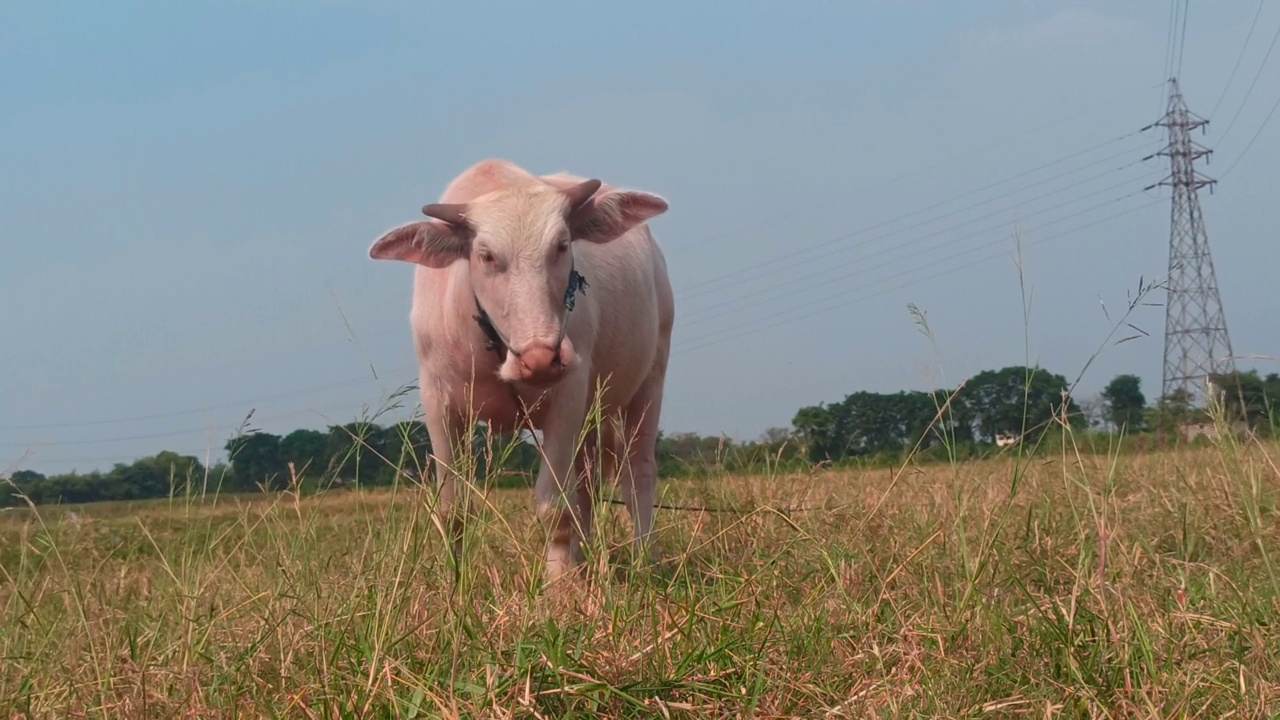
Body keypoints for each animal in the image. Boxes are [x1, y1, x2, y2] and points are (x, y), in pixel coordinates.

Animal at [366, 156, 675, 576]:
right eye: (486, 255)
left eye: (561, 245)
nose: (540, 358)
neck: (494, 349)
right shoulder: (438, 403)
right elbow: (453, 509)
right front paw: (455, 579)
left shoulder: (567, 396)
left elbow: (554, 508)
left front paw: (559, 582)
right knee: (588, 484)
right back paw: (586, 557)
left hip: (648, 382)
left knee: (636, 474)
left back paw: (644, 559)